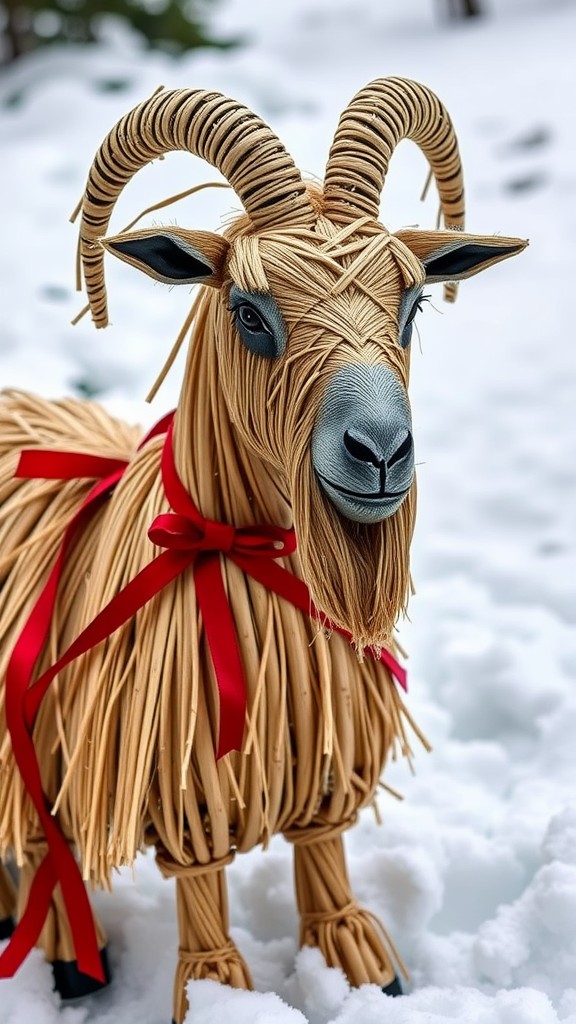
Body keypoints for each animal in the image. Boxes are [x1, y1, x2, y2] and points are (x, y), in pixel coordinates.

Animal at [0, 79, 522, 1024]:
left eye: (413, 306)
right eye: (248, 313)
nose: (380, 452)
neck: (234, 550)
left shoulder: (326, 772)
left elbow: (329, 872)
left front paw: (366, 970)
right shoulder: (183, 790)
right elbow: (204, 916)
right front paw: (217, 993)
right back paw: (67, 959)